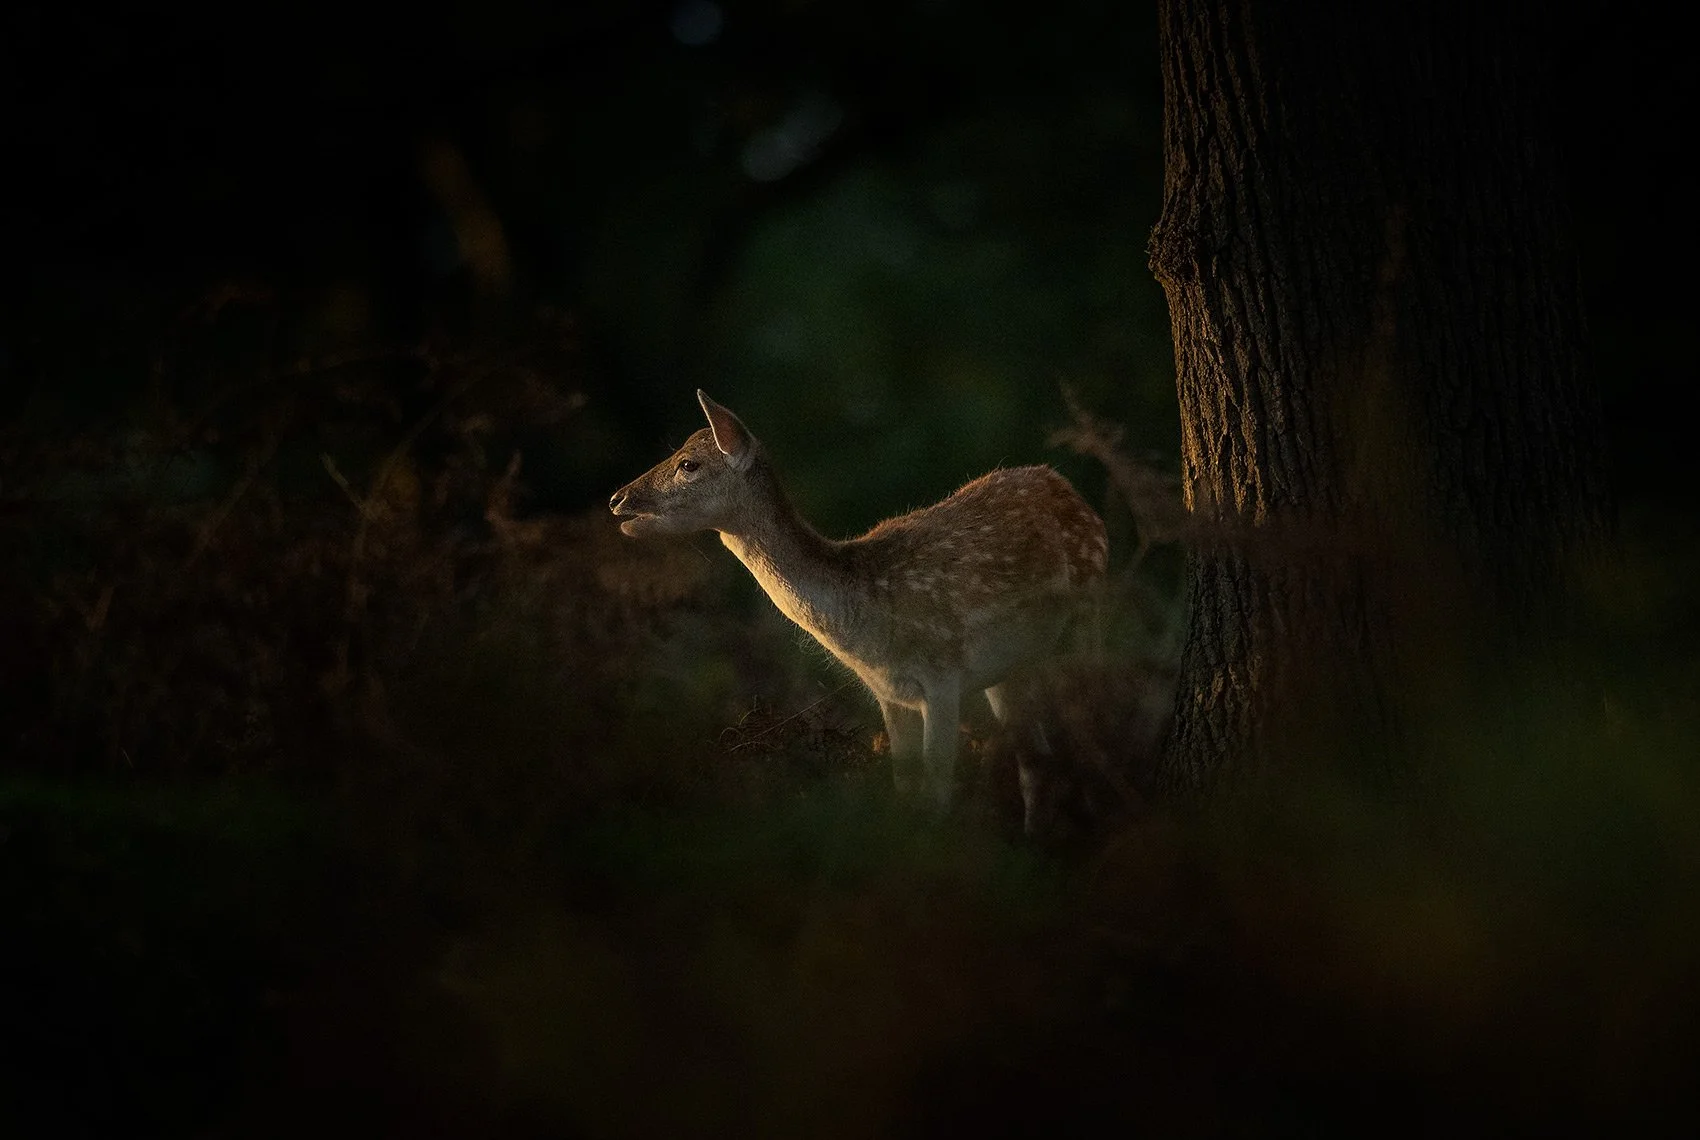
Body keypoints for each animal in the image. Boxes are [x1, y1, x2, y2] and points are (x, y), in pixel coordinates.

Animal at [609, 391, 1108, 833]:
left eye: (688, 464)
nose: (618, 499)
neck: (867, 625)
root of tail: (1071, 490)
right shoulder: (890, 694)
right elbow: (905, 792)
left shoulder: (942, 677)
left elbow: (936, 796)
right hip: (1011, 669)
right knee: (1037, 757)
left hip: (1088, 618)